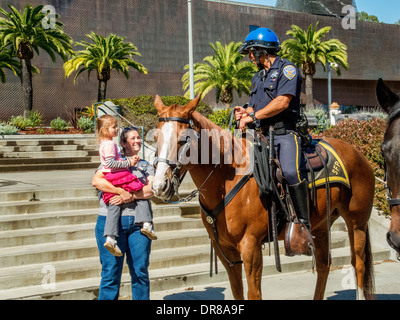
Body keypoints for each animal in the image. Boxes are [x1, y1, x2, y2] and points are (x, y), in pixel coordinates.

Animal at [152, 95, 376, 300]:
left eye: (183, 139)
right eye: (155, 138)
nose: (159, 185)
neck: (227, 175)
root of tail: (357, 152)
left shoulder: (250, 246)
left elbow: (254, 293)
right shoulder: (225, 250)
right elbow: (237, 291)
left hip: (357, 223)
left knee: (359, 265)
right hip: (320, 227)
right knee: (324, 265)